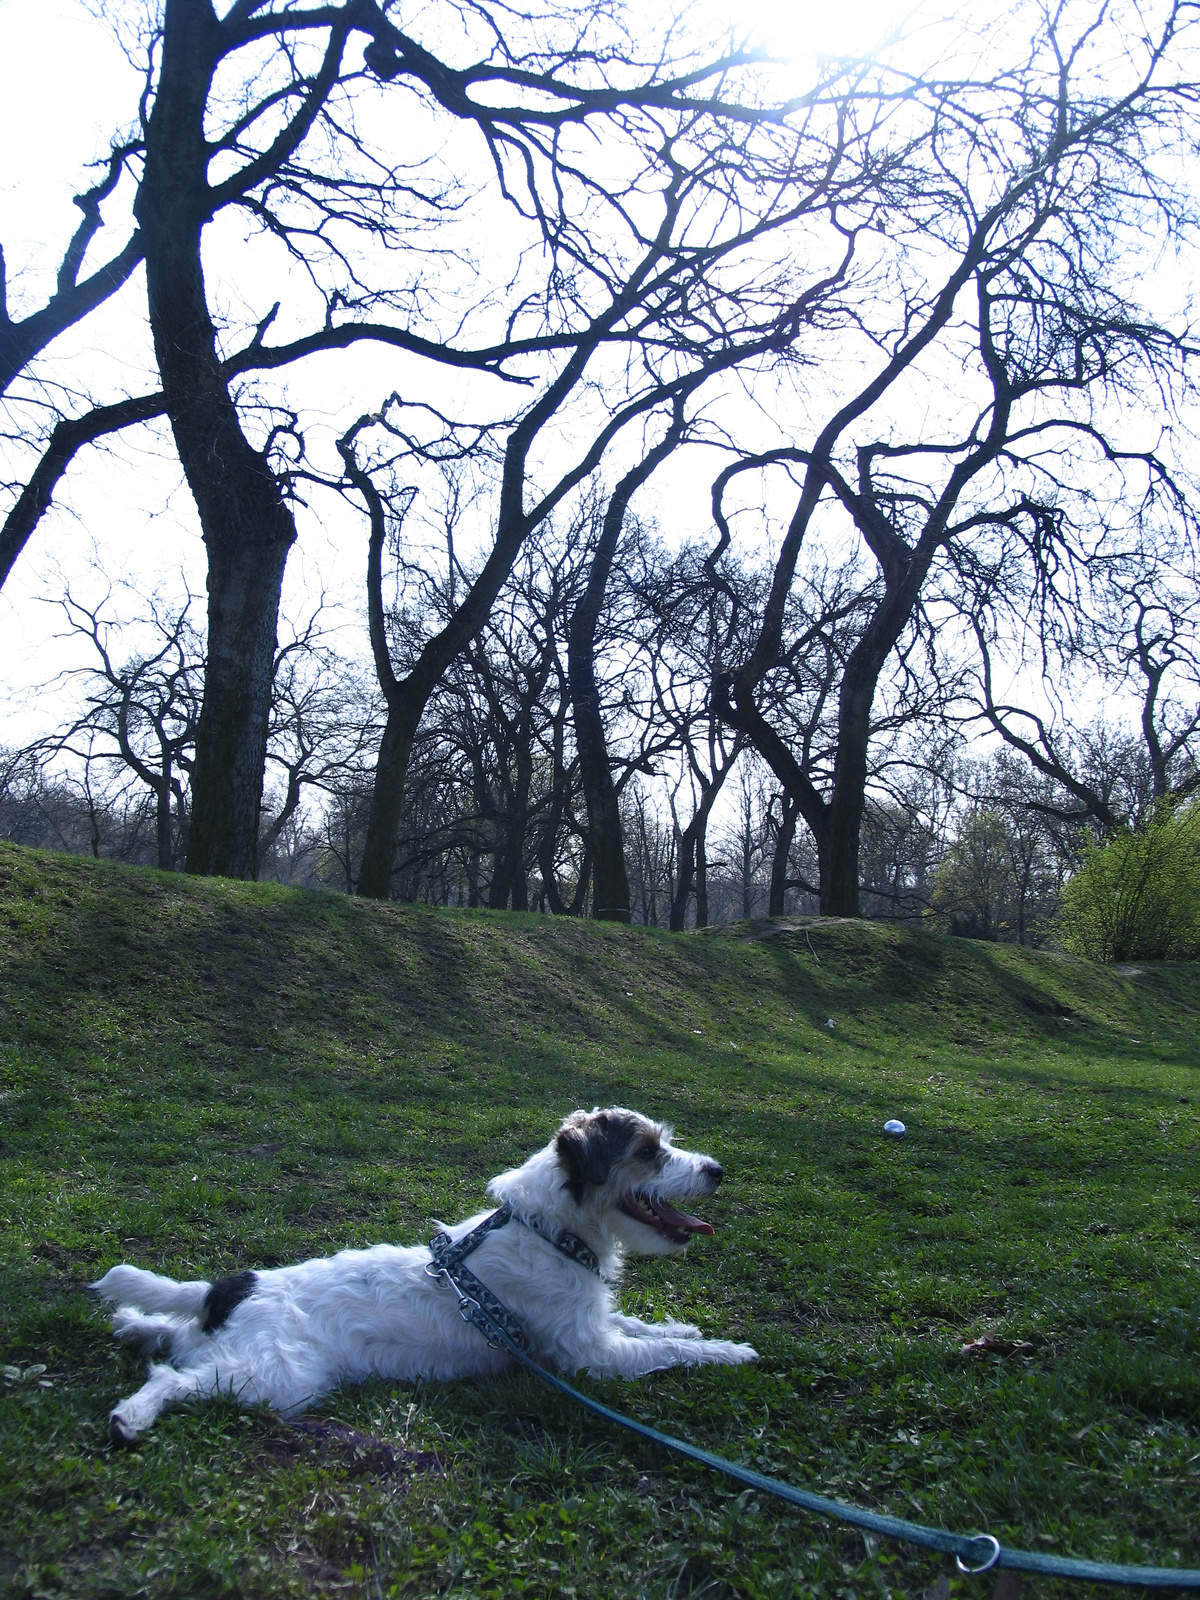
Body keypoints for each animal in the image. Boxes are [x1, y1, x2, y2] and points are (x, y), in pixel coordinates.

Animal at [98, 1113, 764, 1440]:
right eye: (648, 1152)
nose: (717, 1171)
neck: (548, 1229)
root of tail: (236, 1287)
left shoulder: (595, 1324)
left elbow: (647, 1328)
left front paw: (692, 1330)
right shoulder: (587, 1356)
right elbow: (663, 1354)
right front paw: (730, 1352)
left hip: (236, 1354)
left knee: (172, 1337)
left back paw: (132, 1322)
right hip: (274, 1378)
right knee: (170, 1378)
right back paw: (132, 1416)